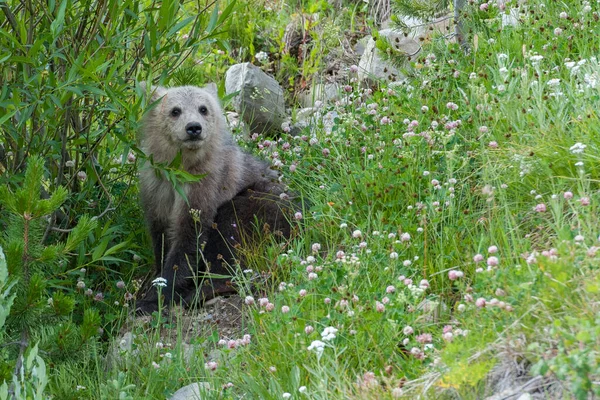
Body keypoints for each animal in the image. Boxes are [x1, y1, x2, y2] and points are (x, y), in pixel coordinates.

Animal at [137, 83, 296, 316]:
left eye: (203, 108)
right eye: (175, 110)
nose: (194, 128)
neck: (181, 168)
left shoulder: (206, 186)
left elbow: (189, 237)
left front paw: (156, 296)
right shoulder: (157, 188)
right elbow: (161, 235)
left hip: (262, 206)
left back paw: (195, 294)